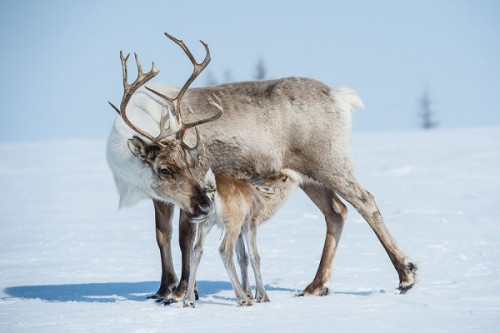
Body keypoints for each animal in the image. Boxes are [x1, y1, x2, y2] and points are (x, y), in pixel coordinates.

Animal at [186, 169, 298, 306]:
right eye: (284, 178)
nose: (295, 175)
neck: (263, 201)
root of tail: (212, 190)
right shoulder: (251, 222)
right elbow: (254, 256)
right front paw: (262, 297)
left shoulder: (240, 231)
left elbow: (243, 257)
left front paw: (250, 292)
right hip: (233, 221)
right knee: (224, 250)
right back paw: (243, 299)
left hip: (206, 221)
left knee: (197, 249)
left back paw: (188, 300)